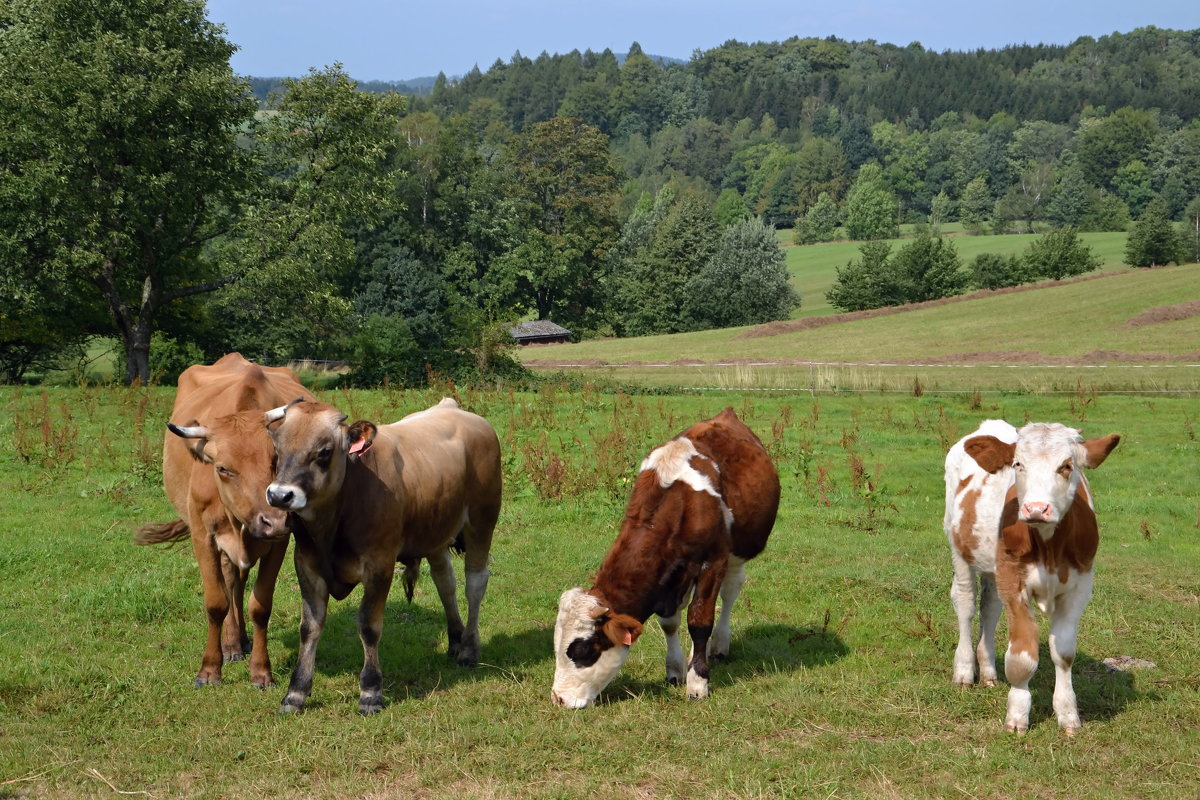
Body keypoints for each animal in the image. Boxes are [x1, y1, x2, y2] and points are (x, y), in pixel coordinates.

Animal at [136, 352, 314, 690]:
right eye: (222, 468)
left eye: (275, 461)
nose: (273, 521)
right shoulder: (203, 536)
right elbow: (216, 602)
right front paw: (209, 669)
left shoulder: (279, 541)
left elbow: (260, 605)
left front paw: (261, 671)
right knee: (230, 582)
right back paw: (231, 644)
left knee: (237, 581)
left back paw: (240, 640)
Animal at [262, 398, 501, 714]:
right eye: (277, 448)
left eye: (324, 451)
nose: (280, 496)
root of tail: (452, 407)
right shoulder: (306, 564)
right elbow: (310, 627)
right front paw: (296, 693)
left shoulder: (380, 566)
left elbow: (368, 625)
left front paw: (371, 692)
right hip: (435, 532)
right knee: (445, 583)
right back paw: (455, 640)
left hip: (481, 522)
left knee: (475, 583)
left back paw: (469, 649)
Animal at [549, 410, 777, 710]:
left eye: (582, 649)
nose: (559, 698)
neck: (678, 501)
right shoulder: (670, 576)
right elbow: (670, 622)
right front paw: (676, 670)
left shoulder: (713, 561)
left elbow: (700, 621)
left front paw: (698, 683)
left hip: (737, 553)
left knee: (729, 593)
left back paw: (719, 646)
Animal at [950, 422, 1118, 734]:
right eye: (1018, 464)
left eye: (1067, 466)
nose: (1037, 509)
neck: (1049, 546)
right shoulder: (1013, 582)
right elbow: (1022, 656)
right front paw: (1017, 715)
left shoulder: (1079, 588)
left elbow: (1064, 652)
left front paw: (1068, 714)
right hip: (960, 550)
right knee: (965, 604)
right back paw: (965, 670)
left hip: (994, 569)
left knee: (990, 608)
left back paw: (988, 671)